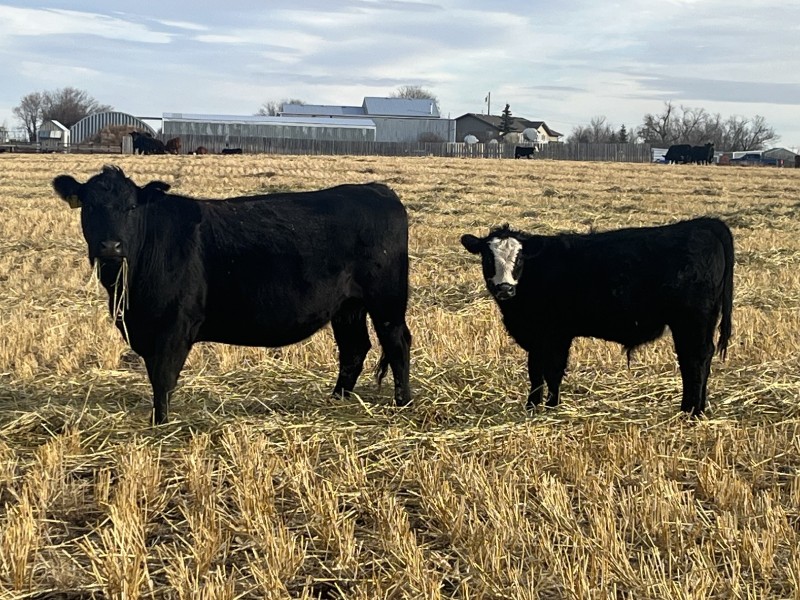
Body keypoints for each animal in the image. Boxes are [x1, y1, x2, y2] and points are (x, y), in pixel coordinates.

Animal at [52, 166, 412, 425]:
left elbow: (163, 379)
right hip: (347, 306)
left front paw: (160, 424)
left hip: (386, 299)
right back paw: (337, 399)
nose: (110, 246)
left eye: (130, 207)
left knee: (397, 342)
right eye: (90, 207)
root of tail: (376, 189)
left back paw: (403, 402)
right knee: (354, 349)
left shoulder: (173, 327)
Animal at [460, 218, 733, 416]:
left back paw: (690, 411)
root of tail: (703, 223)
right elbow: (535, 371)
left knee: (694, 359)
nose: (505, 288)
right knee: (703, 357)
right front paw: (532, 406)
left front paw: (551, 406)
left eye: (519, 259)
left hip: (691, 320)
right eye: (488, 258)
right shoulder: (537, 337)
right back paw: (698, 408)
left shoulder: (556, 334)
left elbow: (553, 370)